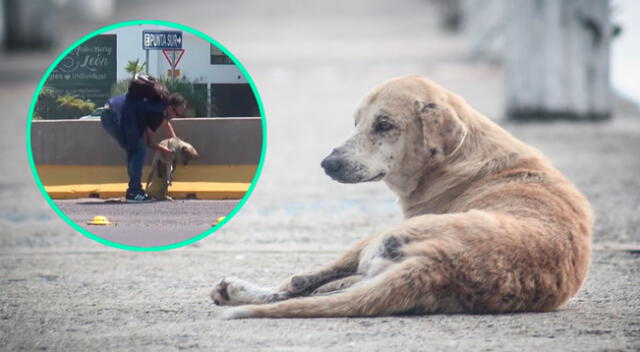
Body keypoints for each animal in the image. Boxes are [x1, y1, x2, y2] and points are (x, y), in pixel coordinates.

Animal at [211, 76, 596, 320]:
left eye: (384, 125)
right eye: (356, 122)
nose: (327, 164)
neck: (458, 156)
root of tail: (439, 265)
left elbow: (302, 281)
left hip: (377, 239)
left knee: (297, 286)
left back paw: (237, 291)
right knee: (326, 291)